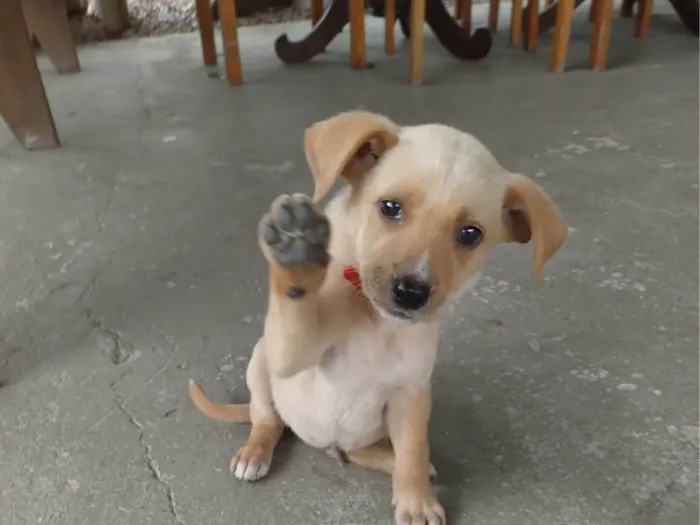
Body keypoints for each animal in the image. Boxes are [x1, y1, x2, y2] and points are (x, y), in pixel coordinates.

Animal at [187, 110, 568, 524]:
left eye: (470, 234)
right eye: (389, 207)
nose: (411, 292)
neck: (376, 320)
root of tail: (325, 443)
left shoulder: (412, 393)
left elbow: (413, 450)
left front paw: (416, 500)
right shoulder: (292, 354)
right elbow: (296, 305)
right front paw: (297, 249)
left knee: (367, 452)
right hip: (260, 364)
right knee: (266, 419)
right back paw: (255, 451)